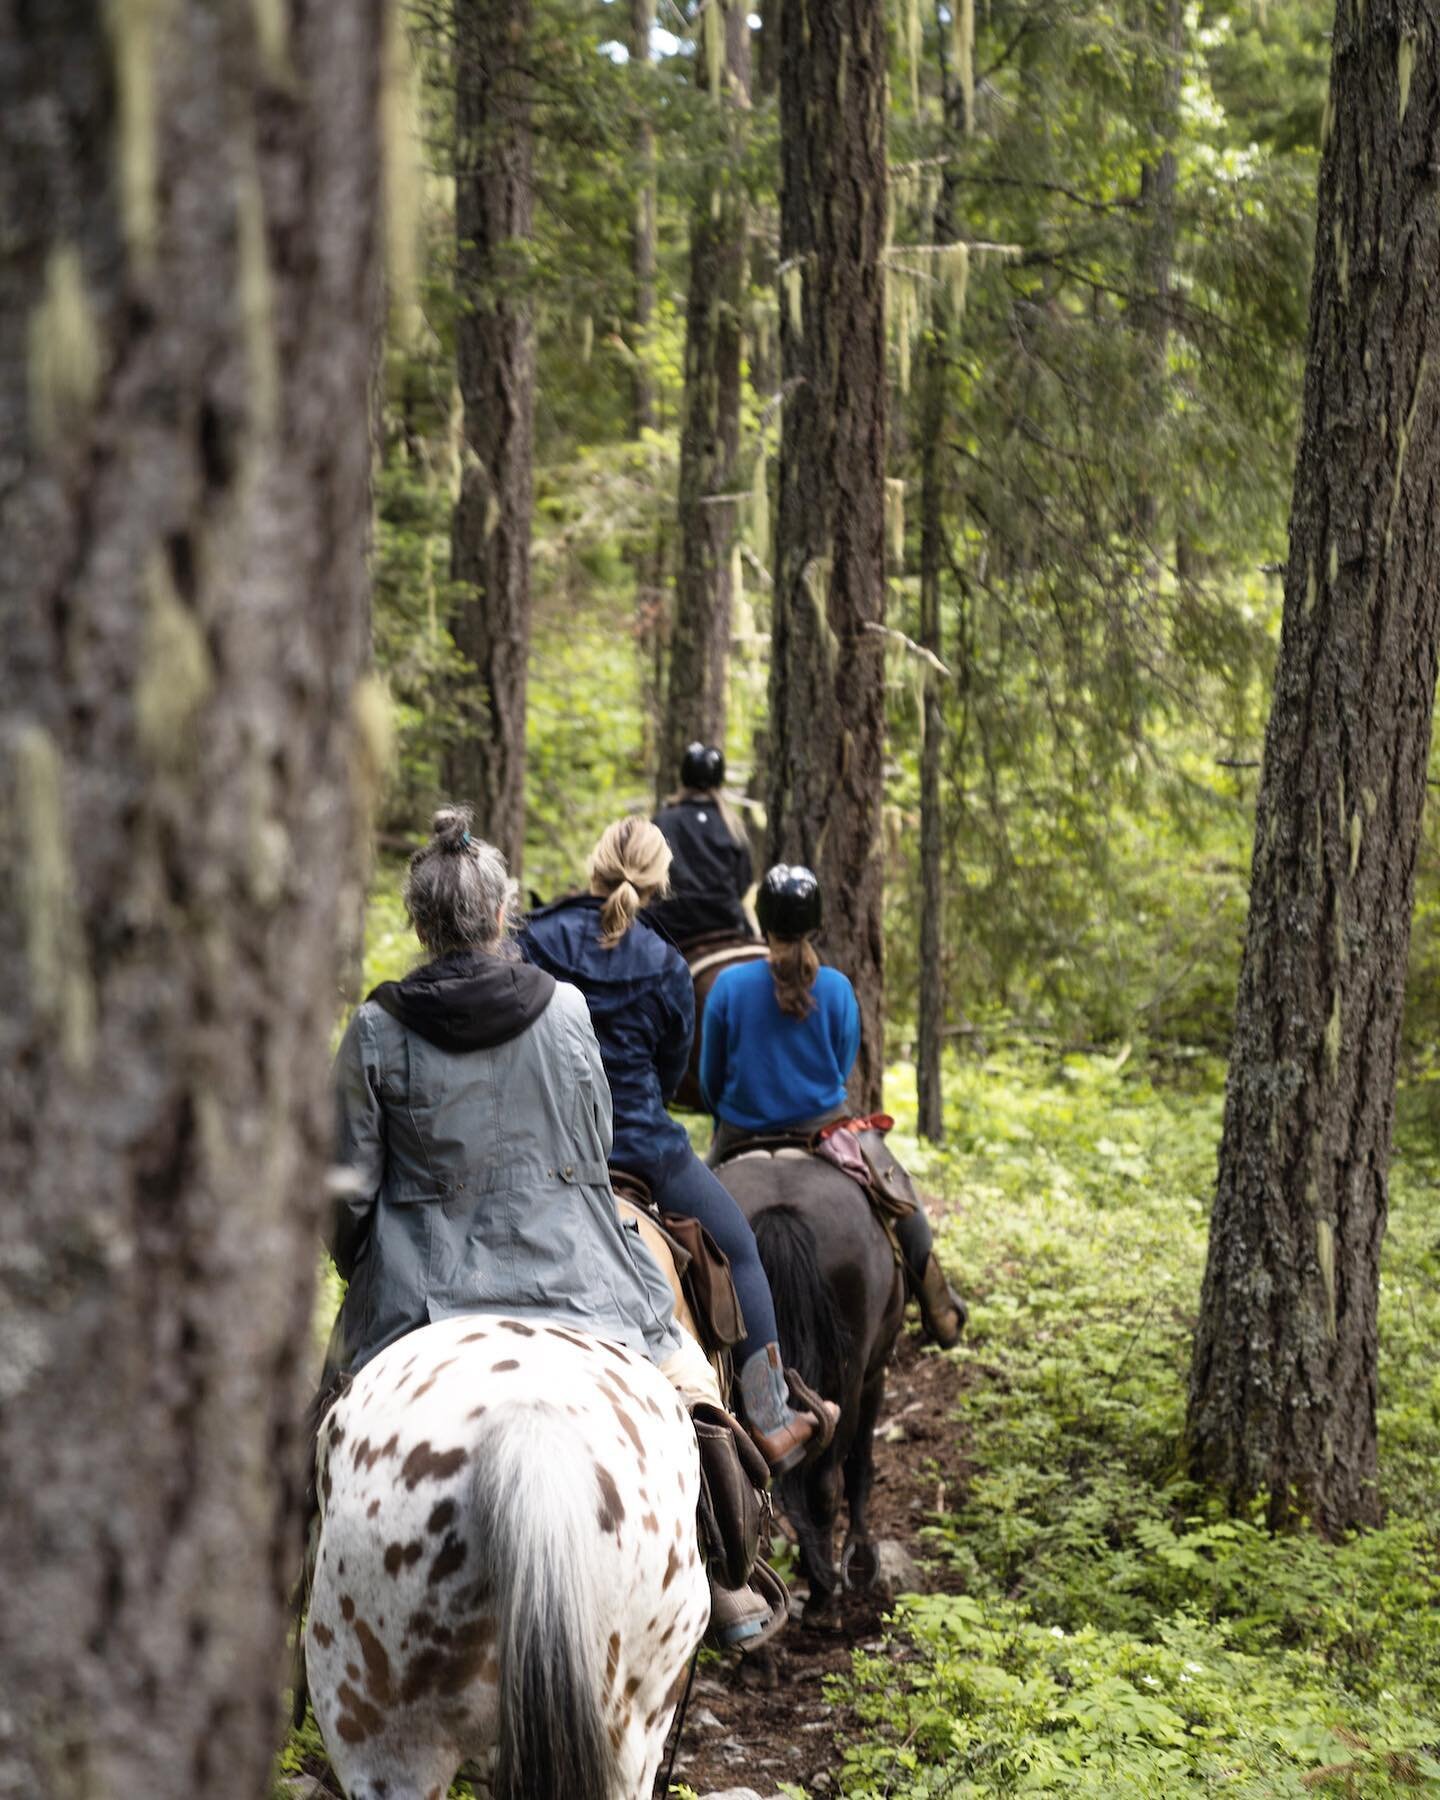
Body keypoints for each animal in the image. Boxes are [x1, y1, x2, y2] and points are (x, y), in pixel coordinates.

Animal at [716, 1152, 907, 1620]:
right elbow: (860, 1463)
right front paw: (860, 1557)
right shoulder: (874, 1376)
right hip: (851, 1377)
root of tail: (781, 1211)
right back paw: (825, 1595)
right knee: (826, 1479)